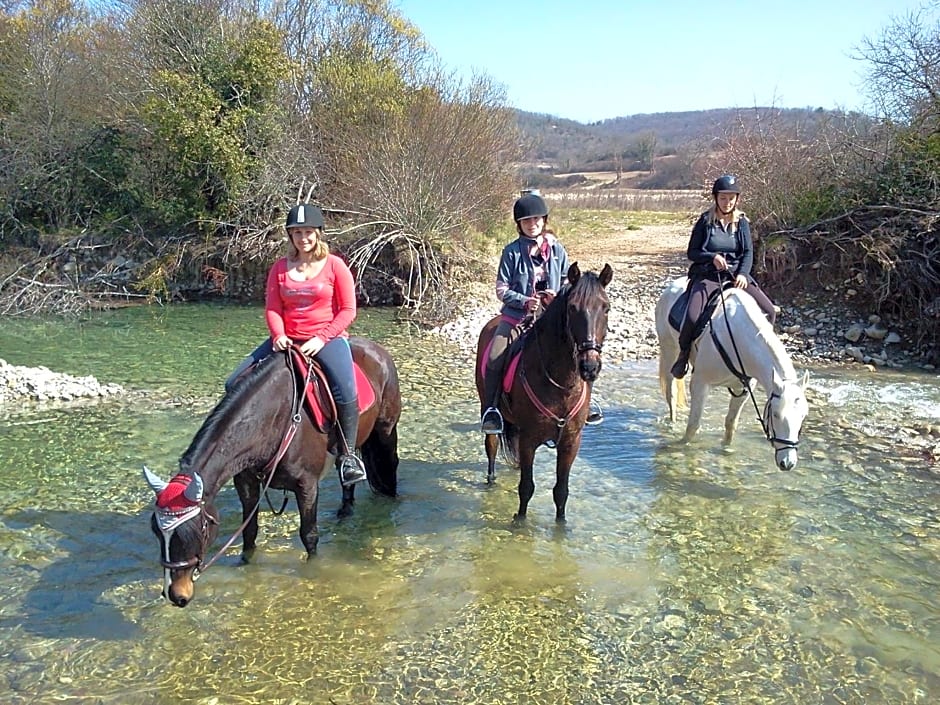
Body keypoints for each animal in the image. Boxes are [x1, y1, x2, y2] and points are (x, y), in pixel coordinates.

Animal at [143, 336, 400, 604]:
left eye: (198, 530)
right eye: (157, 531)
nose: (175, 594)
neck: (273, 418)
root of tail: (376, 349)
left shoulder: (307, 485)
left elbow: (309, 534)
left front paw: (313, 569)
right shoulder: (246, 481)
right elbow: (249, 531)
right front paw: (245, 564)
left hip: (385, 430)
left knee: (389, 465)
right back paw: (345, 509)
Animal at [474, 262, 612, 520]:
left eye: (605, 308)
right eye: (573, 308)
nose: (590, 366)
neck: (561, 385)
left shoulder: (570, 442)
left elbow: (561, 491)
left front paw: (561, 524)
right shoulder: (529, 439)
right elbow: (526, 487)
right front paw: (519, 520)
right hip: (488, 408)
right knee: (492, 445)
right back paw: (491, 480)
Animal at [652, 276, 808, 468]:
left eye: (803, 416)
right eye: (776, 415)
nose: (788, 463)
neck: (739, 339)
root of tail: (671, 287)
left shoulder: (744, 390)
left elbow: (730, 425)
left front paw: (726, 452)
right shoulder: (700, 383)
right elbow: (693, 426)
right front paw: (683, 447)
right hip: (669, 351)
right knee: (671, 394)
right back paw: (672, 426)